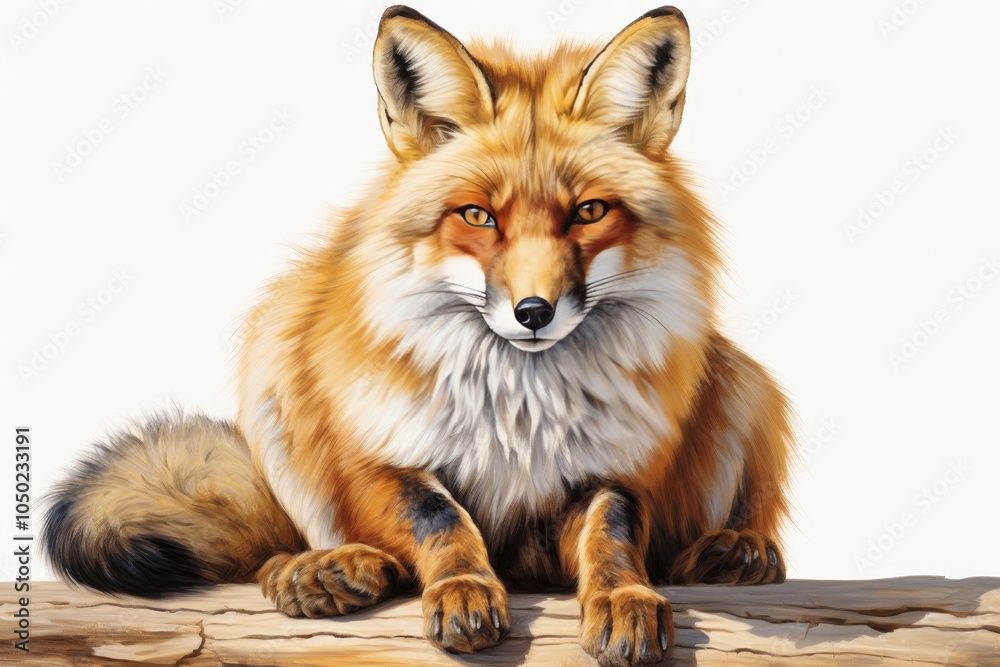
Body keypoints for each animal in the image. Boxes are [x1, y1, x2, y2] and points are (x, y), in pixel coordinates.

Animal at [41, 5, 793, 666]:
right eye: (477, 216)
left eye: (588, 212)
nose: (534, 311)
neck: (520, 415)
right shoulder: (380, 456)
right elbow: (439, 516)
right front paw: (462, 587)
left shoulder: (613, 474)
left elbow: (614, 535)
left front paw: (624, 598)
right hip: (277, 344)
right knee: (297, 544)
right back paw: (324, 569)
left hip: (741, 380)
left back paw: (732, 551)